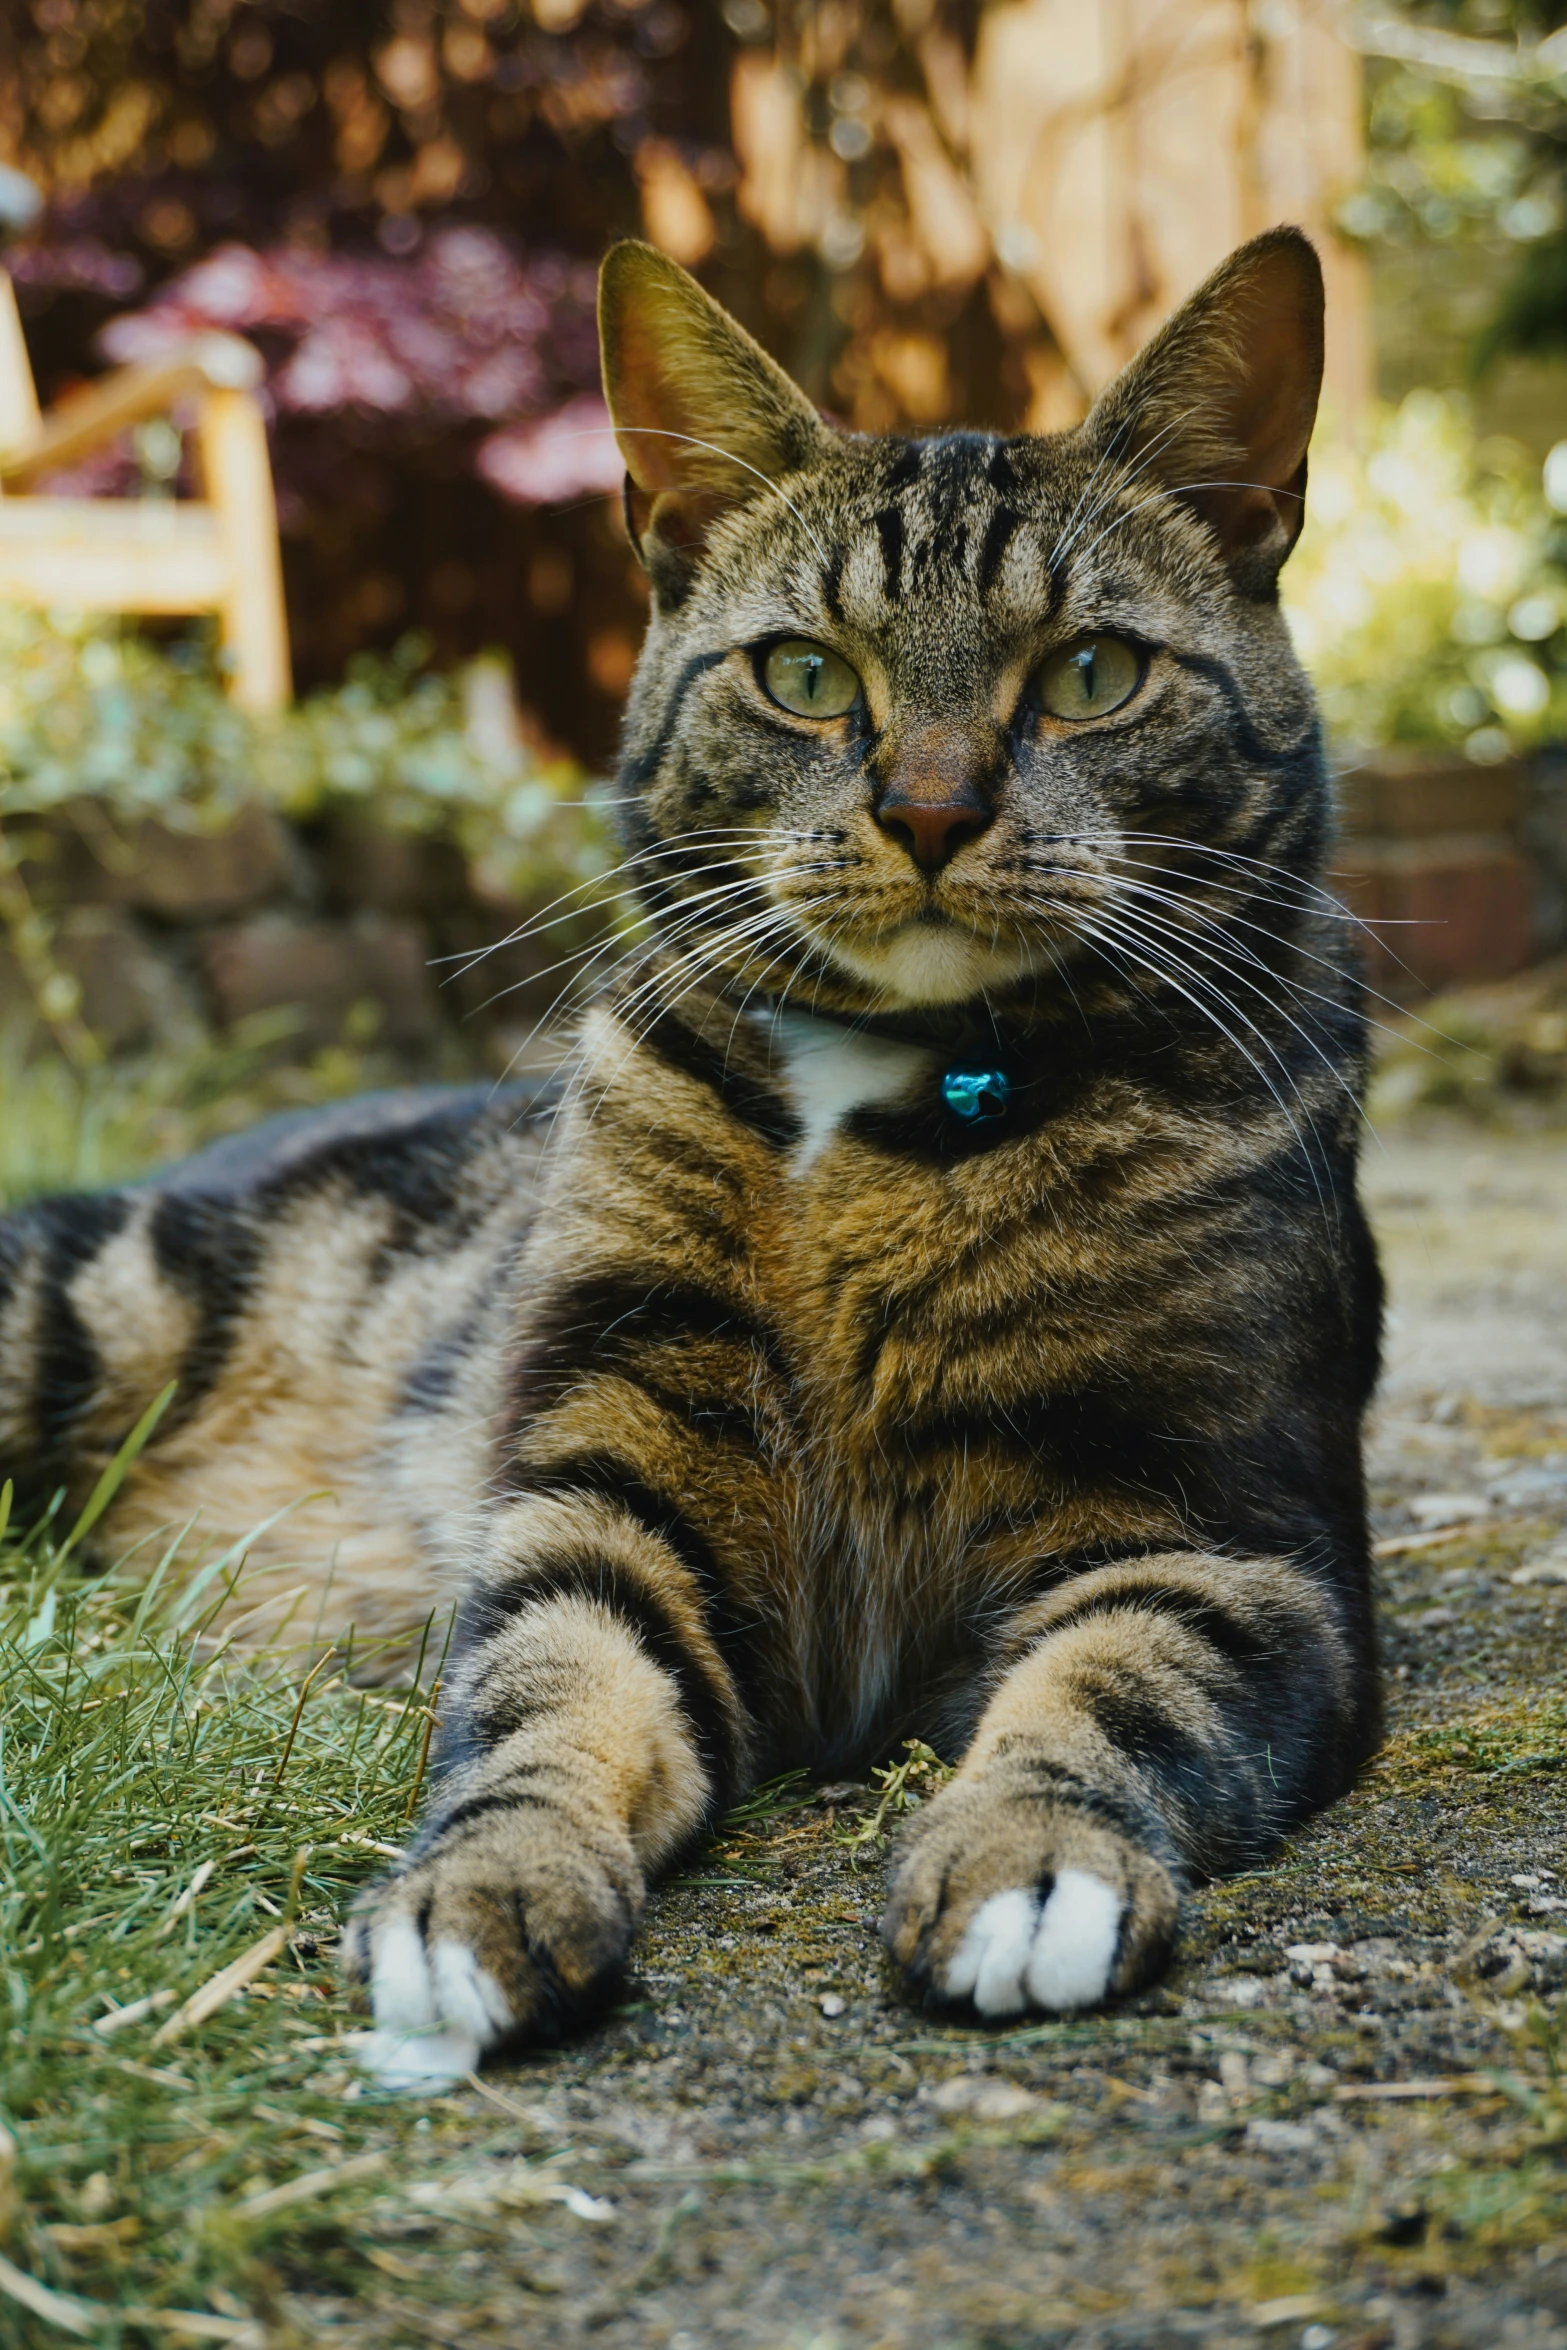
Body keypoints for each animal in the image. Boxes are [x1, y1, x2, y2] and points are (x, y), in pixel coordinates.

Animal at [0, 224, 1381, 2058]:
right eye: (804, 674)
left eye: (1089, 673)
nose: (926, 811)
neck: (900, 1108)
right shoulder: (609, 1462)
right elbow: (552, 1686)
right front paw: (484, 1881)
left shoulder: (1223, 1528)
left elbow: (1111, 1691)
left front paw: (1027, 1858)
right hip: (91, 1299)